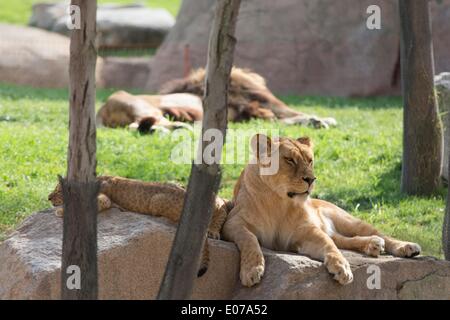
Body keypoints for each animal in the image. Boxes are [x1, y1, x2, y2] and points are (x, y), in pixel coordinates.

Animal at [97, 67, 338, 133]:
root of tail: (100, 113)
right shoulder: (257, 103)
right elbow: (291, 113)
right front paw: (321, 120)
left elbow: (284, 118)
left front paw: (318, 120)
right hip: (135, 102)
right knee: (138, 124)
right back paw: (180, 126)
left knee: (139, 125)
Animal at [224, 134, 422, 286]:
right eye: (289, 160)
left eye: (310, 160)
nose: (311, 179)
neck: (279, 202)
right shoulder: (233, 222)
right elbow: (249, 239)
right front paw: (252, 270)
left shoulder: (305, 231)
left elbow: (328, 244)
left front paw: (342, 267)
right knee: (344, 240)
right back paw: (373, 245)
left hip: (349, 220)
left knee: (378, 235)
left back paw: (405, 247)